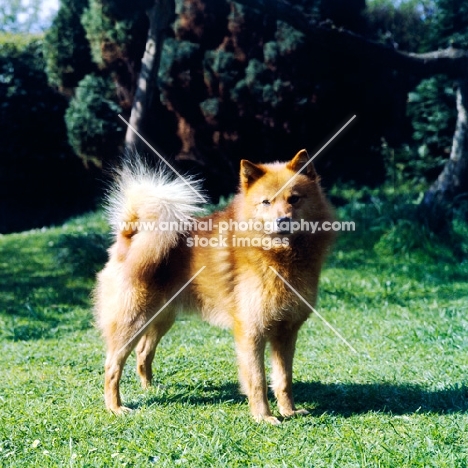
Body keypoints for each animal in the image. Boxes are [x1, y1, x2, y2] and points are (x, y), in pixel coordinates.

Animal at [94, 150, 332, 424]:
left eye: (294, 198)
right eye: (266, 202)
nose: (283, 220)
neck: (280, 257)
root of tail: (131, 234)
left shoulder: (286, 333)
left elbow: (283, 379)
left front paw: (289, 411)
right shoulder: (251, 332)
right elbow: (258, 380)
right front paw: (263, 417)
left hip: (161, 318)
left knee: (143, 353)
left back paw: (150, 388)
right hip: (131, 322)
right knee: (112, 366)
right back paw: (115, 407)